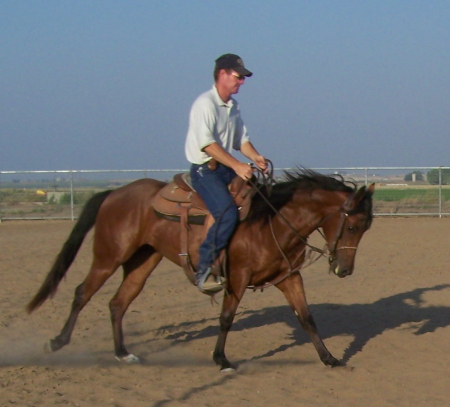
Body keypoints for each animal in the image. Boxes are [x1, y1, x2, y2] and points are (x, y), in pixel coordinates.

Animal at [26, 167, 374, 372]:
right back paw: (57, 342)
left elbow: (307, 318)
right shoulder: (237, 278)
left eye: (366, 228)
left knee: (117, 303)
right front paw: (221, 359)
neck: (272, 221)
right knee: (82, 293)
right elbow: (226, 318)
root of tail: (114, 192)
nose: (345, 270)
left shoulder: (289, 278)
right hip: (108, 256)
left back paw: (123, 353)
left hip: (143, 261)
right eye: (352, 226)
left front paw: (329, 358)